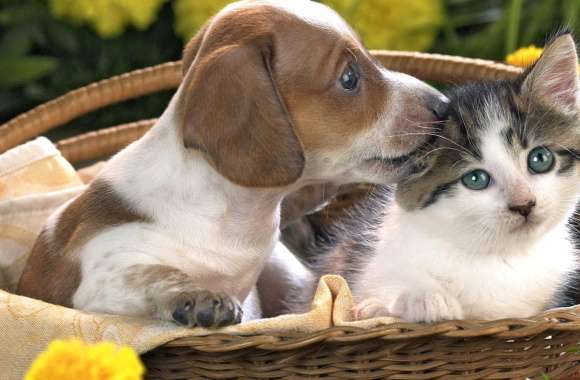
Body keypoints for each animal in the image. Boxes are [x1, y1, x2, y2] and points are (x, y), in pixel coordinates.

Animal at [15, 0, 446, 326]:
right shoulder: (99, 278)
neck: (232, 211)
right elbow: (155, 275)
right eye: (349, 77)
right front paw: (199, 296)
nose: (444, 105)